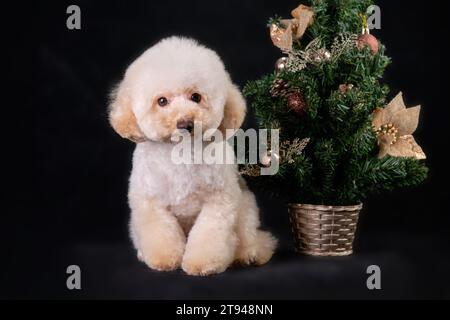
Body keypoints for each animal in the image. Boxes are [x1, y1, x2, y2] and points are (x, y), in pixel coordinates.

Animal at [110, 35, 278, 276]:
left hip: (245, 209)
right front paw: (163, 259)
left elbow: (208, 235)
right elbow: (161, 233)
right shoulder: (151, 203)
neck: (180, 154)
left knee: (250, 239)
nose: (184, 123)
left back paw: (247, 255)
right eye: (162, 101)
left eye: (196, 97)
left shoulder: (219, 201)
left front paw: (202, 263)